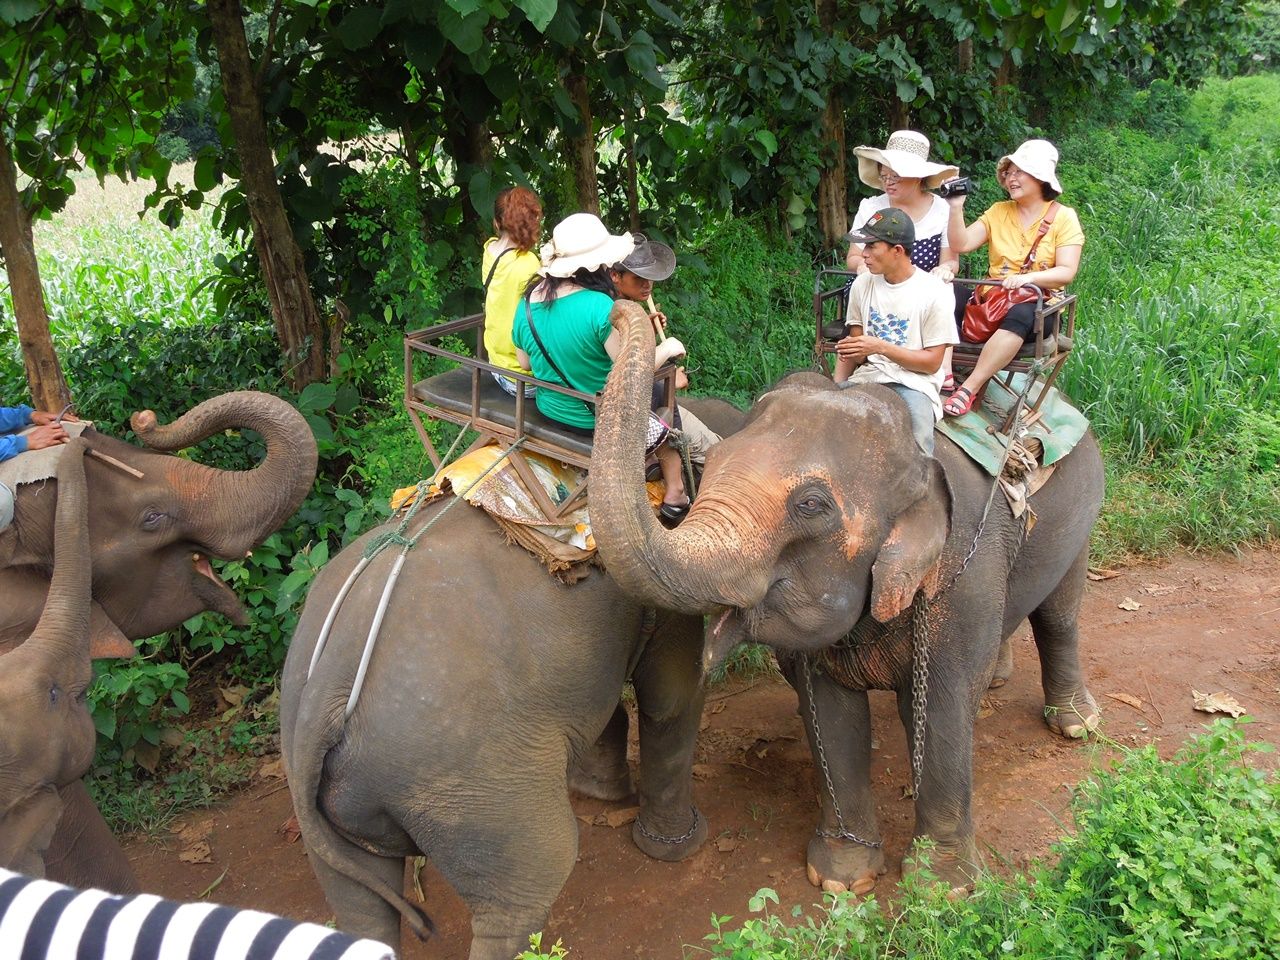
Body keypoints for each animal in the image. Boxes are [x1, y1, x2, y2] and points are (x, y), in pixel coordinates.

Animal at [280, 398, 747, 960]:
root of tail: (322, 699)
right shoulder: (665, 588)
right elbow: (672, 697)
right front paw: (678, 846)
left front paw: (600, 792)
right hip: (469, 783)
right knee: (529, 881)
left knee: (359, 904)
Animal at [588, 301, 1103, 894]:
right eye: (709, 468)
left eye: (811, 505)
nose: (619, 312)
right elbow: (832, 713)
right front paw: (841, 877)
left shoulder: (963, 575)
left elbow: (943, 705)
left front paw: (944, 886)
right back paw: (1000, 677)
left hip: (1082, 508)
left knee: (1060, 613)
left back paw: (1077, 725)